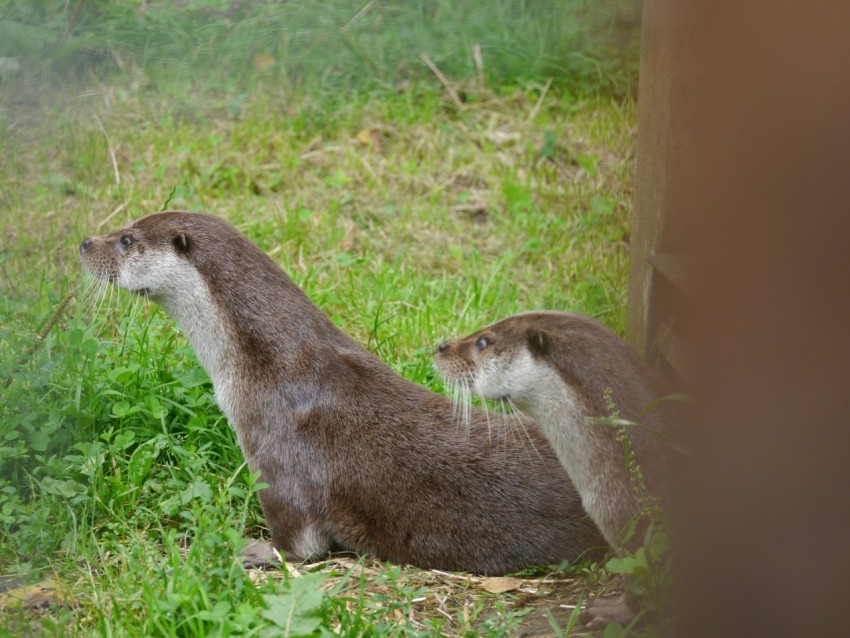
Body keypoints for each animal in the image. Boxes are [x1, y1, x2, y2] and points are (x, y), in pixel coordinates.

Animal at [78, 214, 604, 576]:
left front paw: (252, 551)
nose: (85, 242)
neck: (270, 367)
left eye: (126, 240)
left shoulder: (278, 453)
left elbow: (299, 542)